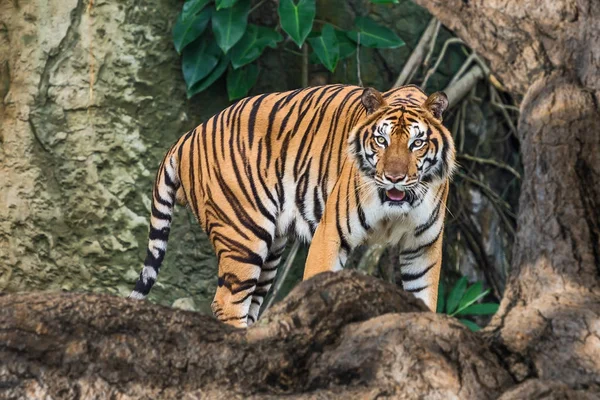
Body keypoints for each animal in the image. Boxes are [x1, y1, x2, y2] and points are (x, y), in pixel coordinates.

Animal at [130, 84, 454, 328]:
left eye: (416, 144)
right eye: (381, 140)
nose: (394, 178)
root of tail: (187, 137)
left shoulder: (423, 247)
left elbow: (424, 299)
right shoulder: (331, 232)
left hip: (271, 249)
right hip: (243, 236)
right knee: (227, 303)